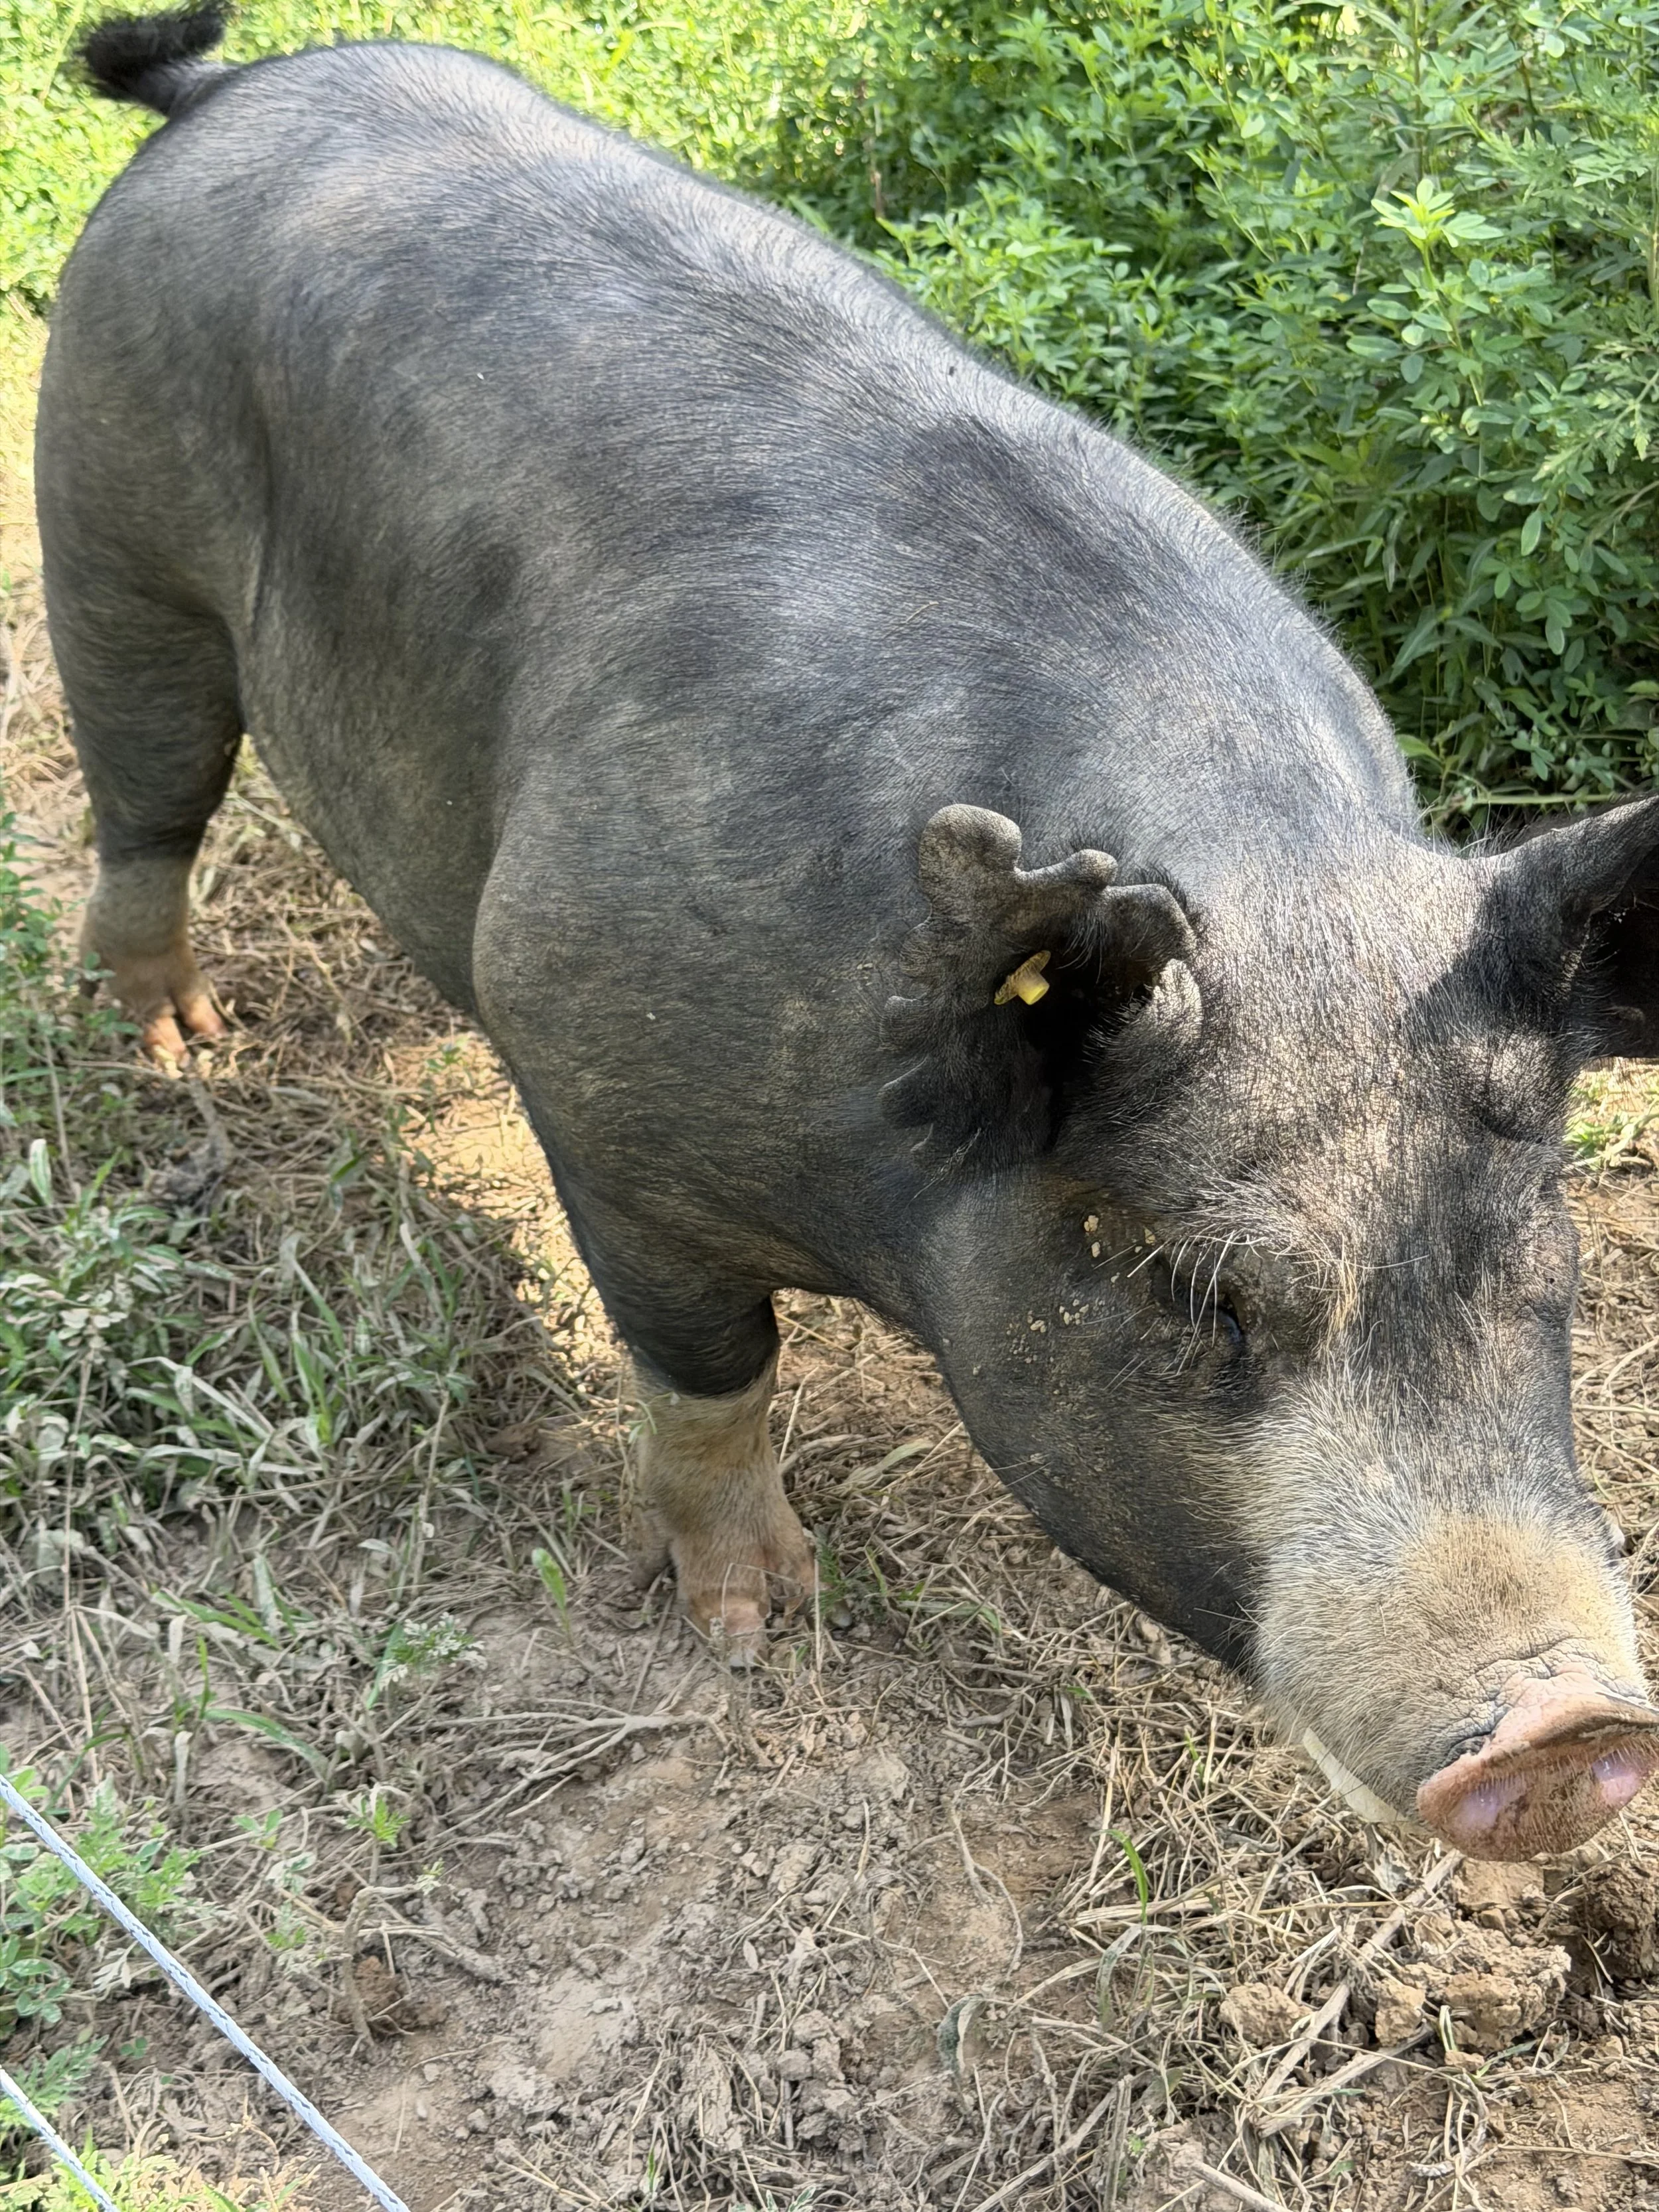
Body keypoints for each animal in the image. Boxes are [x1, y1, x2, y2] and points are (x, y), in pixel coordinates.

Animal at [40, 5, 1659, 1859]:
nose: (1572, 1727)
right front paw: (756, 1625)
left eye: (1547, 1271)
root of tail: (223, 95)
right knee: (146, 796)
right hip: (109, 525)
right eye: (1211, 1298)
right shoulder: (599, 1088)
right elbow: (710, 1370)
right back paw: (174, 1047)